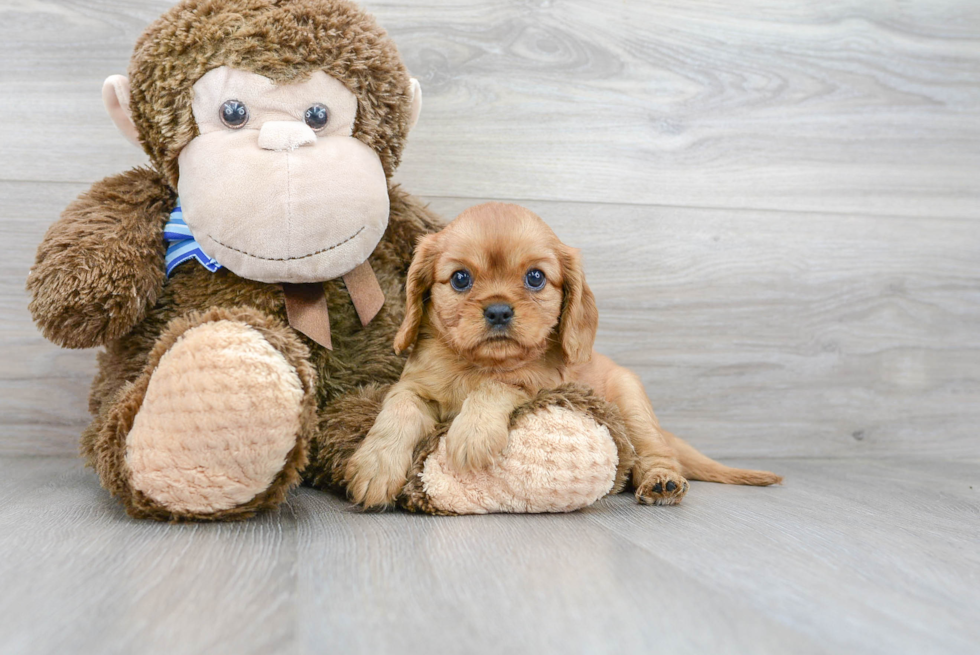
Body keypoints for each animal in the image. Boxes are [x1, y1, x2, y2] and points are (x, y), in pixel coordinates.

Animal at [346, 202, 780, 510]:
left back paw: (661, 481)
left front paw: (471, 434)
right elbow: (398, 410)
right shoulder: (413, 386)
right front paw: (376, 466)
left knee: (657, 452)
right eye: (460, 279)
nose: (498, 311)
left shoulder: (538, 384)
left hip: (632, 401)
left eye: (535, 277)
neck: (479, 364)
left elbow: (497, 386)